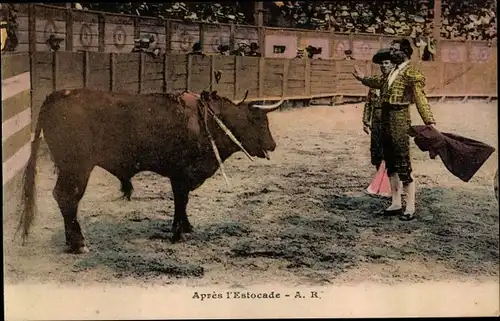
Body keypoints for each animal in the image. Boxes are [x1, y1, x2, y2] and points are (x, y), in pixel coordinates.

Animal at [19, 87, 284, 252]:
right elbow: (180, 200)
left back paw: (71, 241)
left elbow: (183, 202)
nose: (272, 144)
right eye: (259, 121)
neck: (208, 120)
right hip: (76, 167)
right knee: (67, 198)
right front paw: (177, 233)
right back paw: (78, 244)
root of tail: (57, 95)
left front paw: (186, 227)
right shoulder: (181, 174)